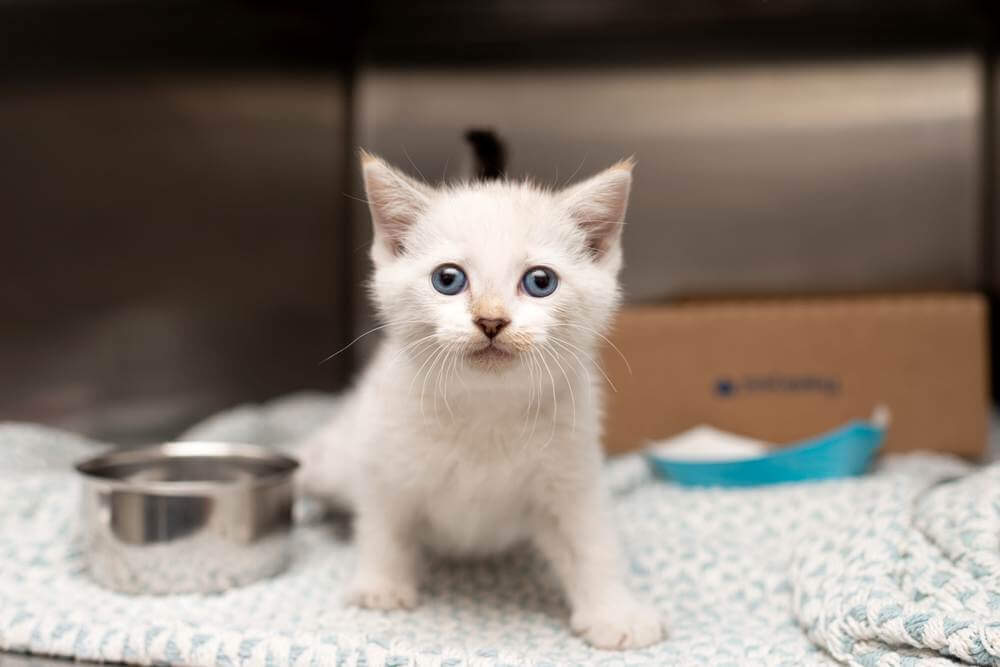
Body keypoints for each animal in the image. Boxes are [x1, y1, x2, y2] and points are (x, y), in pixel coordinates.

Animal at [300, 151, 668, 652]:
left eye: (540, 281)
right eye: (448, 279)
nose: (491, 320)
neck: (486, 408)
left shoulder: (571, 471)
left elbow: (590, 541)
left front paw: (615, 612)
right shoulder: (383, 455)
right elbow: (383, 523)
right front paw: (381, 585)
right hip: (337, 454)